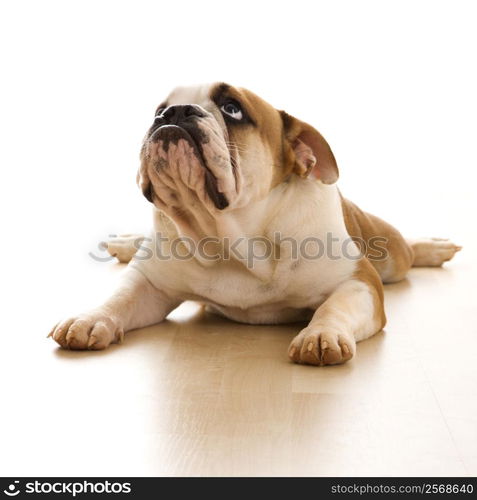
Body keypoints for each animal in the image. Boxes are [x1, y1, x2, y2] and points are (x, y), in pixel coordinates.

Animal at [47, 80, 458, 366]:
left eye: (232, 109)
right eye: (159, 109)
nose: (174, 112)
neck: (231, 239)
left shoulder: (359, 282)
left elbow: (334, 307)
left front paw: (321, 334)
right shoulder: (150, 284)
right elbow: (119, 297)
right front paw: (90, 318)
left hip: (391, 258)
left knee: (406, 252)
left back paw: (432, 247)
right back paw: (125, 242)